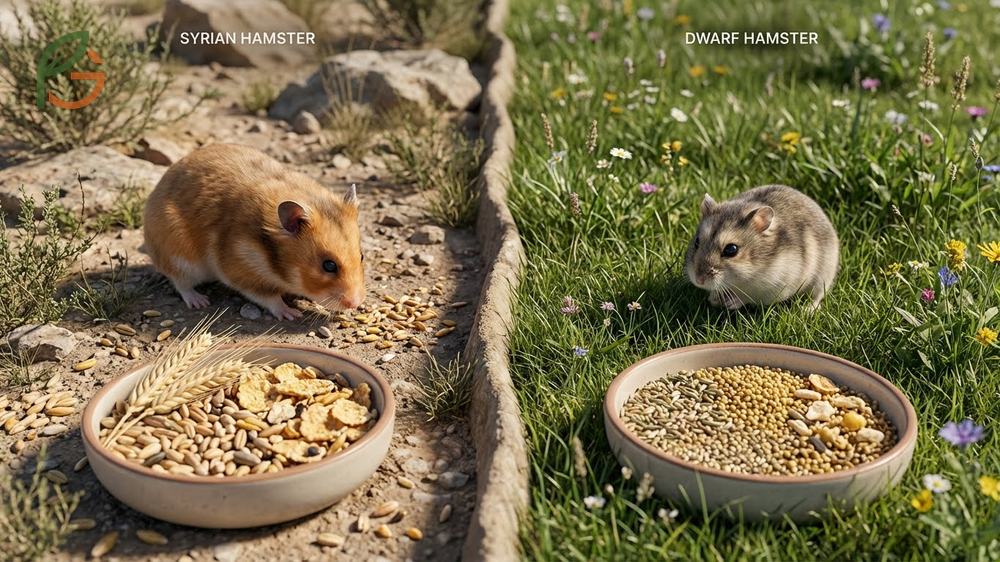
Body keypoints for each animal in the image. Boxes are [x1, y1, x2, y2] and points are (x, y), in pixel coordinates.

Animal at [143, 143, 365, 320]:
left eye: (361, 256)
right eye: (329, 265)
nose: (356, 304)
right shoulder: (242, 273)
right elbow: (270, 298)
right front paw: (292, 314)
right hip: (179, 257)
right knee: (180, 283)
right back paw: (200, 301)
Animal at [684, 184, 839, 310]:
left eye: (731, 250)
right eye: (696, 242)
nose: (699, 280)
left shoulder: (775, 288)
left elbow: (748, 298)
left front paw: (730, 303)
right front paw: (713, 298)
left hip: (823, 277)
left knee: (817, 296)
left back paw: (807, 311)